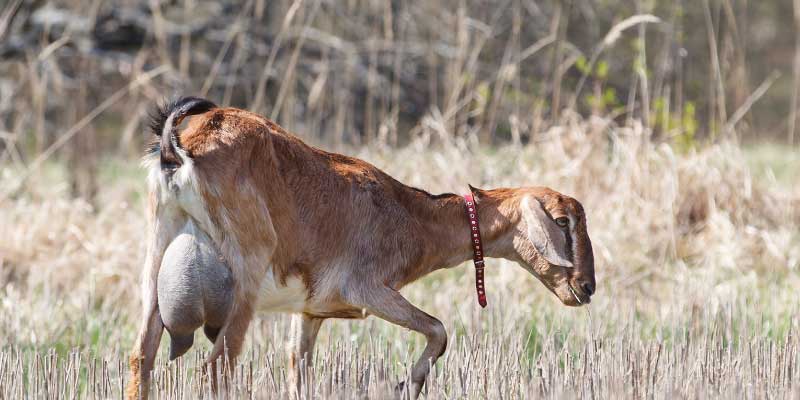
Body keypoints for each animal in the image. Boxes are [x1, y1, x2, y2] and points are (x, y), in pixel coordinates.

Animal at [126, 97, 592, 400]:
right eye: (562, 221)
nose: (585, 287)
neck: (409, 212)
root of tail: (177, 147)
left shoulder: (310, 312)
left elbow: (298, 371)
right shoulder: (368, 290)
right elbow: (439, 329)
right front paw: (406, 384)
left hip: (156, 259)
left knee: (140, 359)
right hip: (247, 275)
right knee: (217, 368)